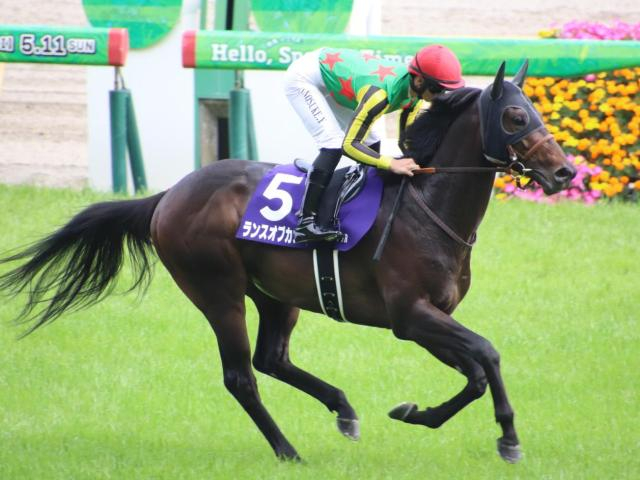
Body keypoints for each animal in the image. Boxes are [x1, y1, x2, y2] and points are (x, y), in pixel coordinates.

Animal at [0, 61, 576, 464]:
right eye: (516, 116)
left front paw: (419, 414)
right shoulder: (409, 315)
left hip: (277, 295)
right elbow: (487, 354)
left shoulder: (431, 318)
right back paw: (287, 450)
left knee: (270, 359)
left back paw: (343, 411)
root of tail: (168, 195)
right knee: (240, 376)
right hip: (218, 292)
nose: (566, 172)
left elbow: (476, 370)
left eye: (535, 110)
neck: (426, 204)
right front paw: (508, 438)